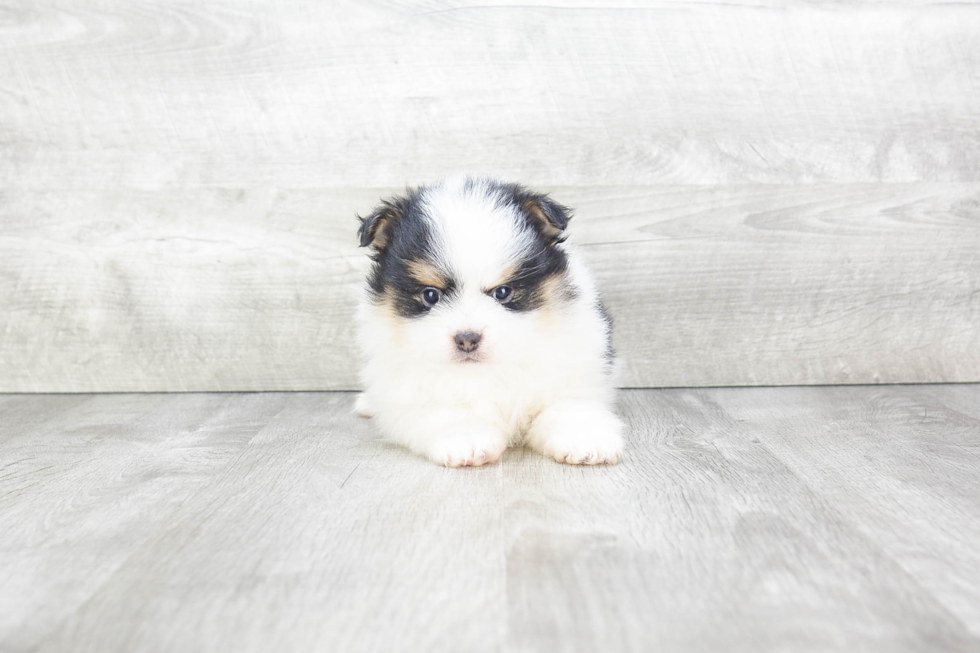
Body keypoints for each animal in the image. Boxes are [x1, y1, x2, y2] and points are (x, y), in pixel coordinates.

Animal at [356, 176, 624, 466]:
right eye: (431, 295)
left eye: (503, 292)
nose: (467, 338)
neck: (488, 371)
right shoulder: (407, 385)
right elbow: (443, 407)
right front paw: (466, 438)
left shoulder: (573, 365)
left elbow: (568, 404)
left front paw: (584, 438)